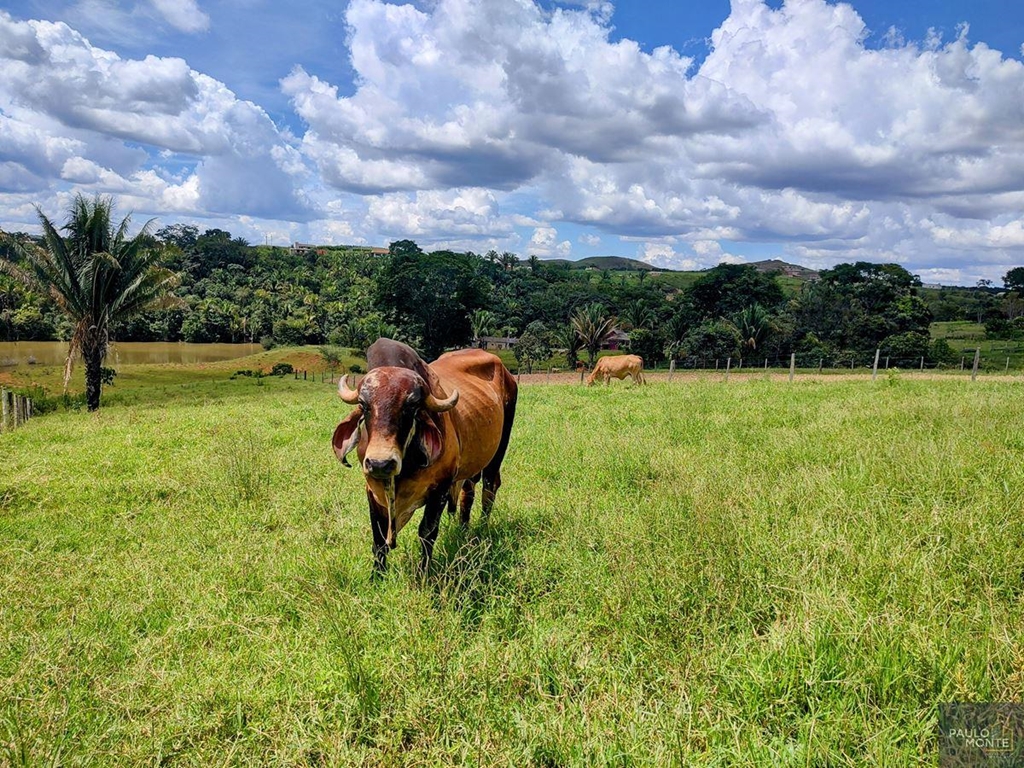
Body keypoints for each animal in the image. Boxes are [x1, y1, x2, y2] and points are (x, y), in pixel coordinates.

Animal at [331, 339, 516, 573]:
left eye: (411, 406)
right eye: (364, 405)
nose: (381, 463)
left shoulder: (441, 487)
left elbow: (427, 533)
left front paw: (424, 574)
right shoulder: (372, 488)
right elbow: (379, 539)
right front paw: (377, 576)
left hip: (498, 450)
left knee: (490, 487)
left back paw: (481, 530)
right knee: (468, 492)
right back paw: (463, 531)